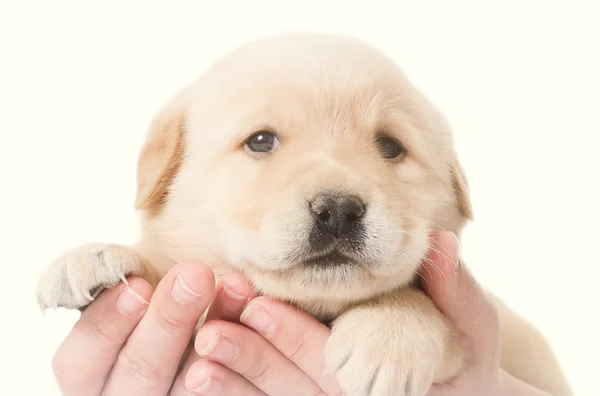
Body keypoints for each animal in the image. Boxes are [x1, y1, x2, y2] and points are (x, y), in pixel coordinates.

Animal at [35, 32, 576, 394]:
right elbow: (171, 265)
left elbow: (417, 296)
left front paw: (387, 338)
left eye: (390, 147)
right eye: (260, 141)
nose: (337, 210)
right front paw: (95, 255)